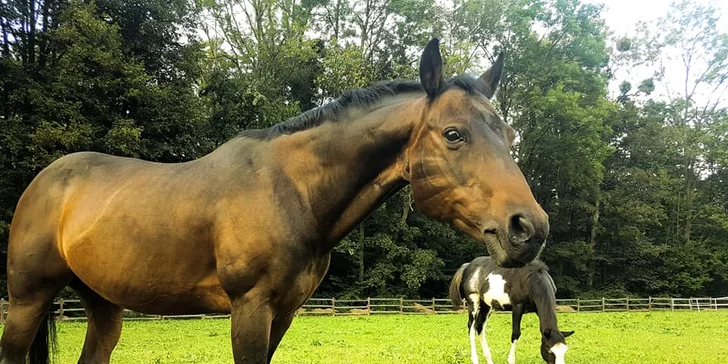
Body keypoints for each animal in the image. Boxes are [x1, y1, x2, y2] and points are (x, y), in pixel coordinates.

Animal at [0, 38, 544, 362]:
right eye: (453, 134)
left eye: (509, 134)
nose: (529, 228)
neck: (293, 192)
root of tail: (46, 180)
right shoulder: (250, 309)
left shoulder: (282, 314)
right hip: (27, 300)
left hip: (103, 306)